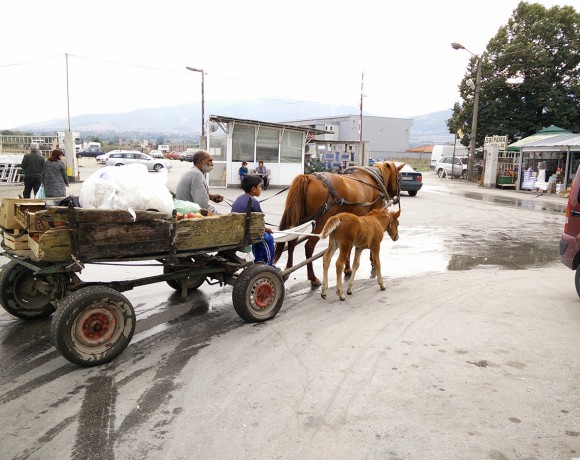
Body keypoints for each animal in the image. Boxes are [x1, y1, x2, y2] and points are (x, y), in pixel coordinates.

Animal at [274, 161, 404, 284]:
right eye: (399, 178)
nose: (397, 197)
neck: (375, 181)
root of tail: (309, 177)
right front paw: (372, 264)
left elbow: (350, 246)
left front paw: (347, 268)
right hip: (321, 222)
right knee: (309, 246)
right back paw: (313, 278)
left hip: (300, 220)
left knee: (291, 242)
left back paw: (287, 270)